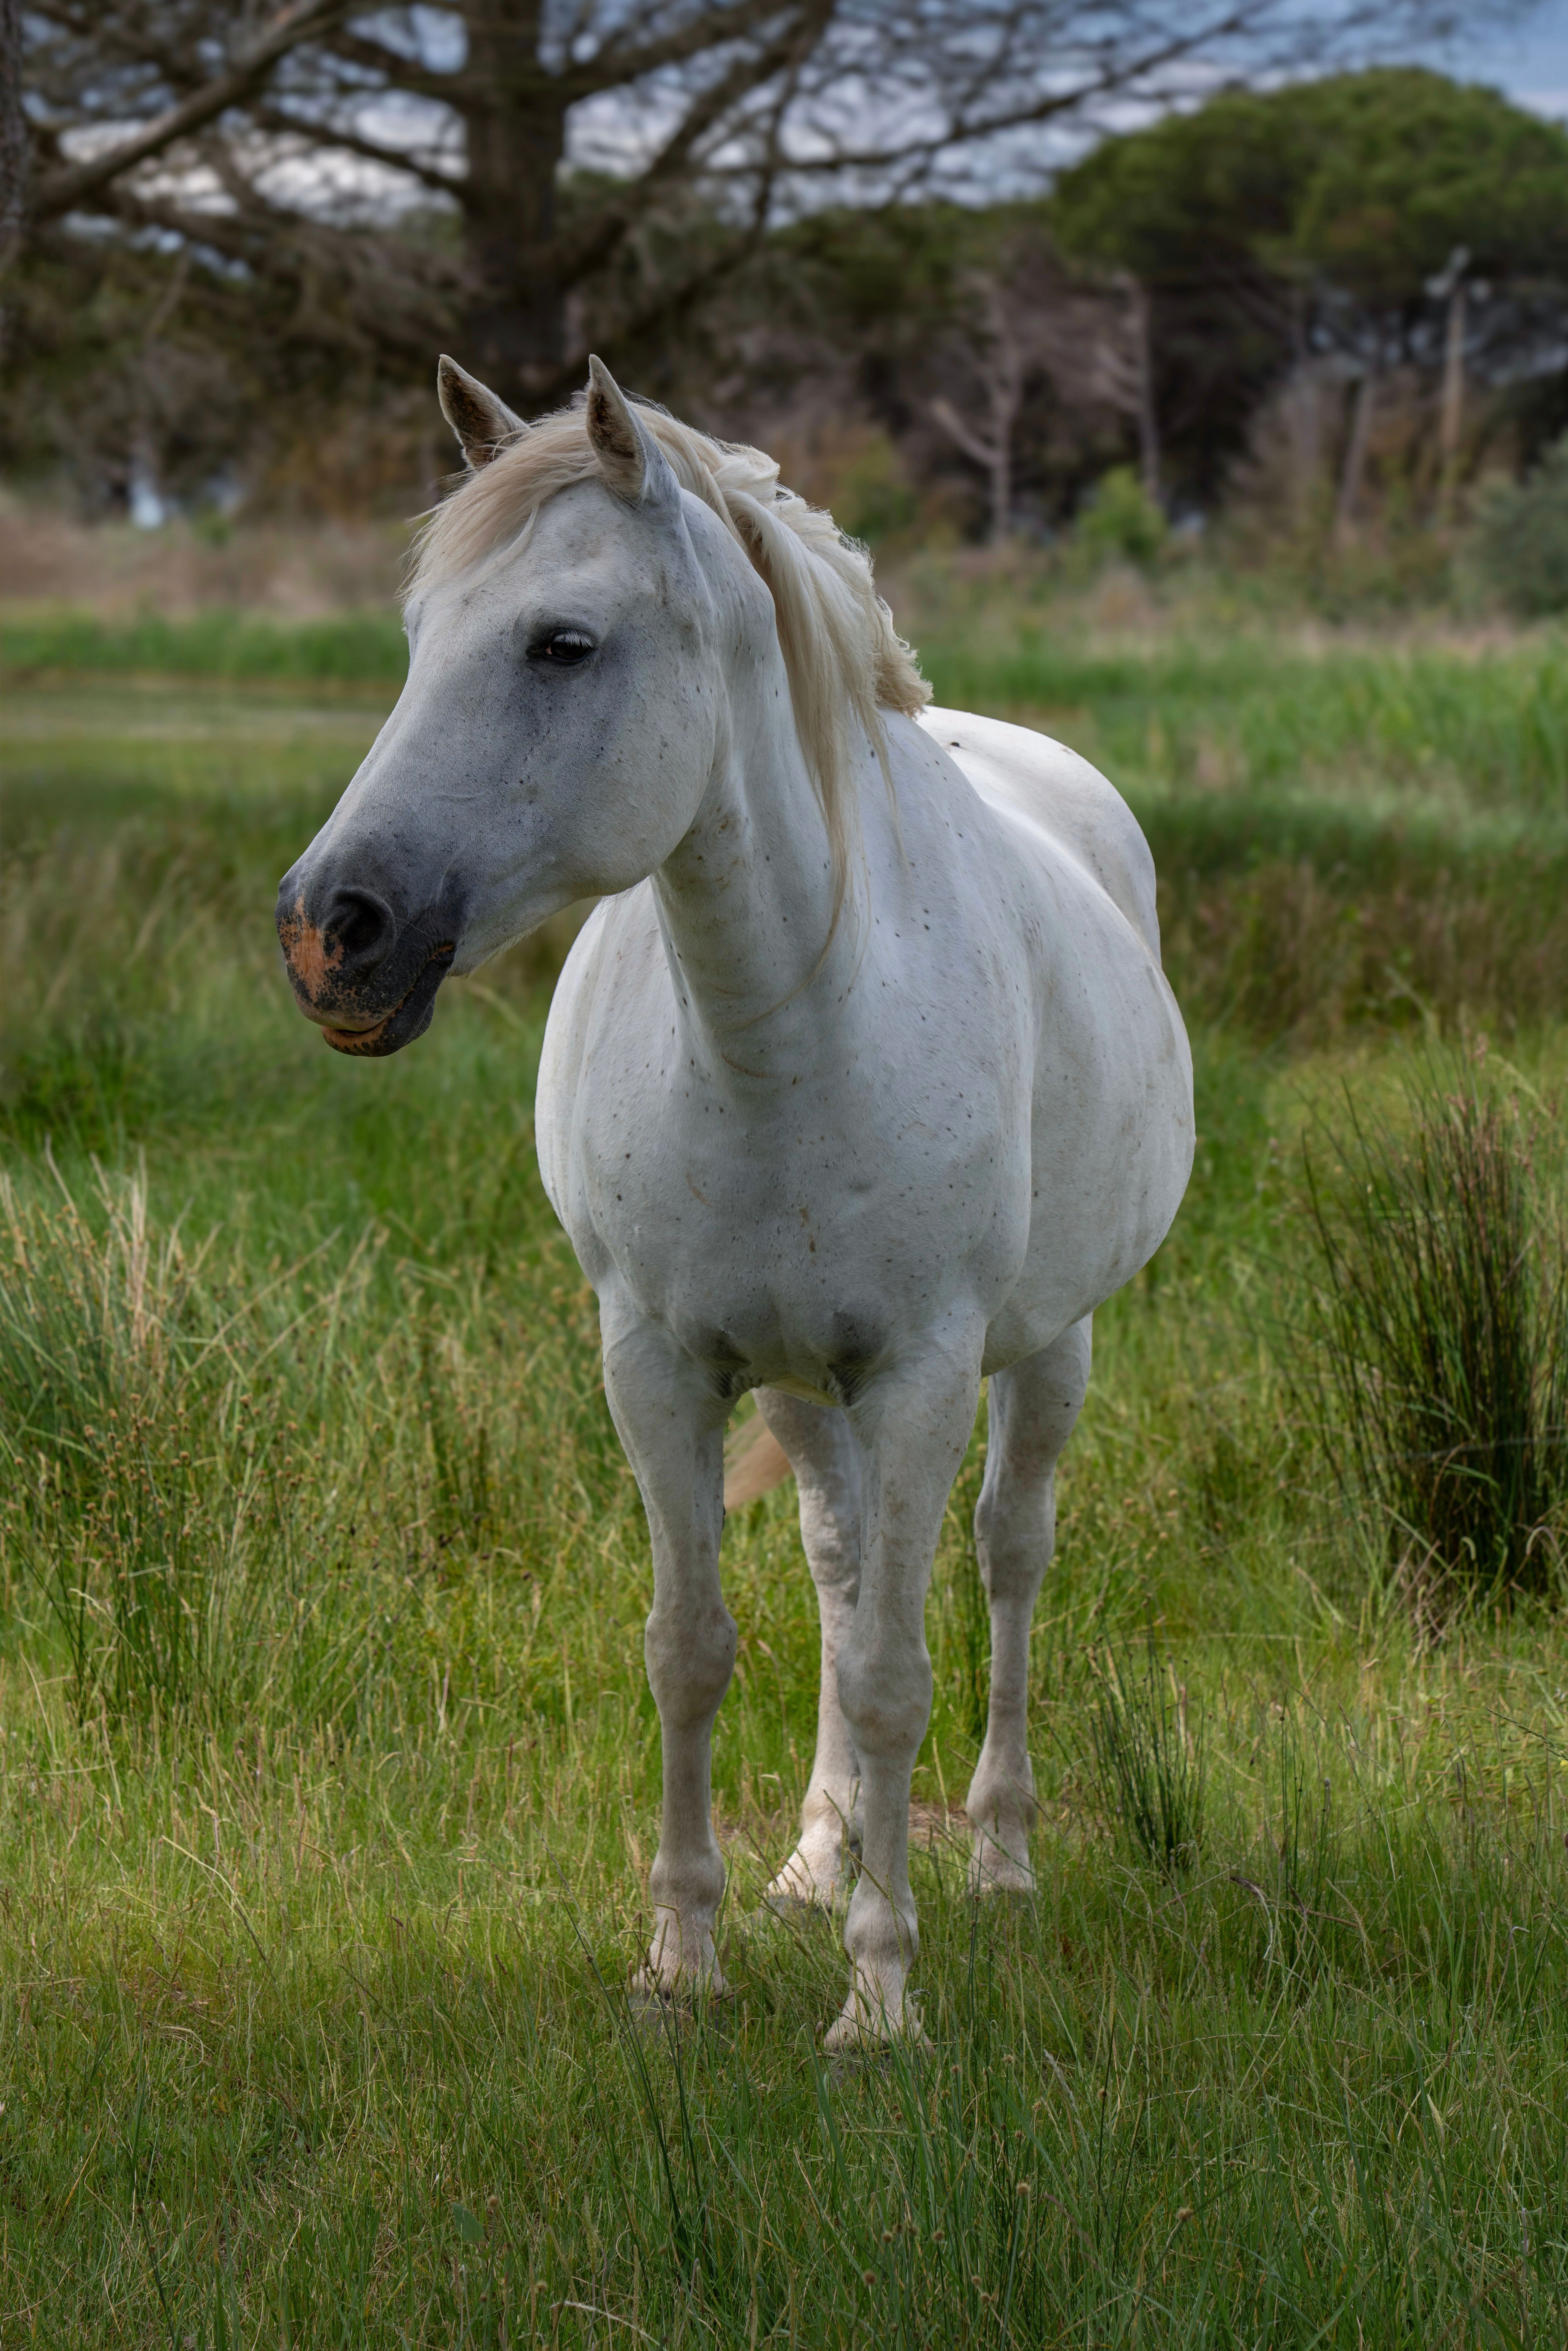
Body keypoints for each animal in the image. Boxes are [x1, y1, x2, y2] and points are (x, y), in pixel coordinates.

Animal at [276, 355, 1194, 2049]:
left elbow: (897, 1669)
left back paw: (998, 1858)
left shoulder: (922, 1370)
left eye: (562, 644)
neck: (785, 1016)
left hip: (1046, 1352)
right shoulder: (659, 1363)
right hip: (801, 1384)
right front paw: (682, 1958)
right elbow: (692, 1650)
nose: (332, 931)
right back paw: (818, 1862)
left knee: (1006, 1557)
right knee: (837, 1568)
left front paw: (880, 1999)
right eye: (419, 637)